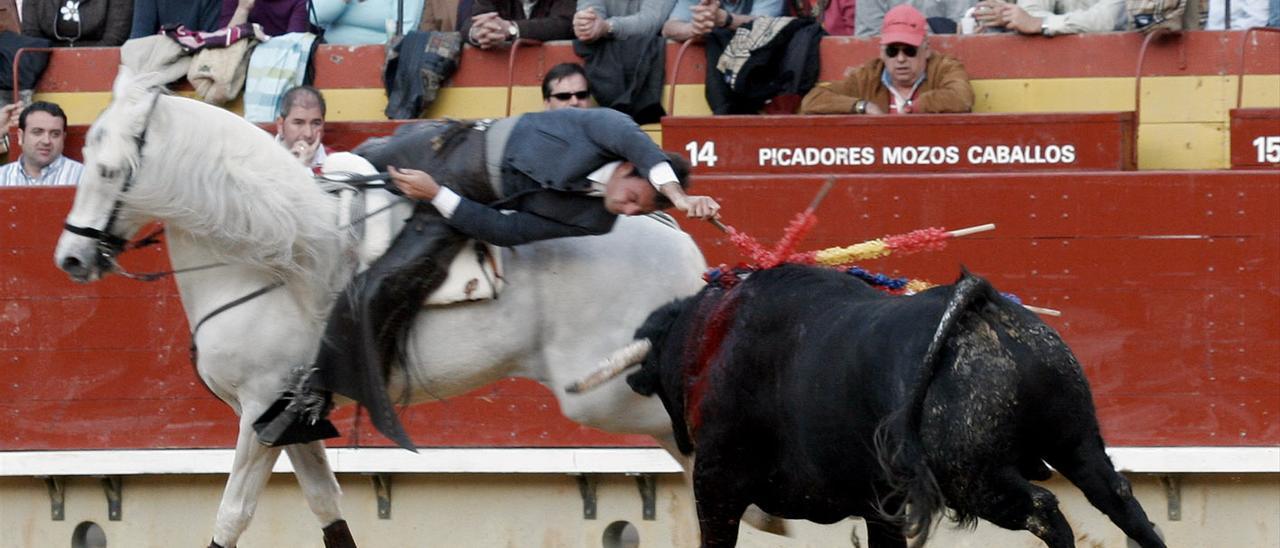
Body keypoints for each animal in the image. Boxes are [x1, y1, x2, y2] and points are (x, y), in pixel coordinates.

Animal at [55, 69, 706, 548]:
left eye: (109, 170)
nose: (71, 258)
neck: (267, 252)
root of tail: (684, 249)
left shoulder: (260, 405)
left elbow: (232, 514)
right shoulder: (288, 415)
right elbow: (326, 505)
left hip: (605, 395)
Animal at [624, 265, 1167, 548]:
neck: (710, 336)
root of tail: (978, 306)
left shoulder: (715, 485)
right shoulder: (878, 505)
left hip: (974, 478)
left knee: (1043, 511)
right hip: (1076, 438)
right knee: (1119, 500)